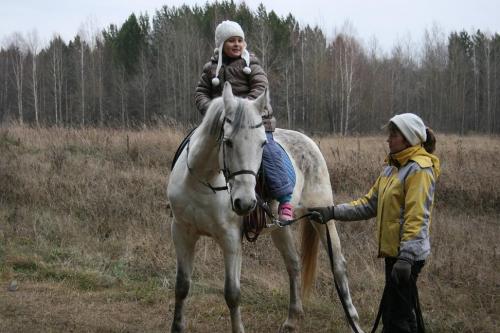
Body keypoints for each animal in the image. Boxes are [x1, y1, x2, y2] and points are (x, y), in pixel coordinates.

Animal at [168, 81, 364, 332]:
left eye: (262, 143)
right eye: (228, 142)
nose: (245, 202)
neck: (203, 182)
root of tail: (309, 142)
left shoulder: (230, 239)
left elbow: (232, 293)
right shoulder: (182, 233)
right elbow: (182, 287)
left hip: (322, 216)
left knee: (338, 264)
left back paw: (354, 321)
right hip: (281, 227)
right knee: (293, 264)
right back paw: (292, 319)